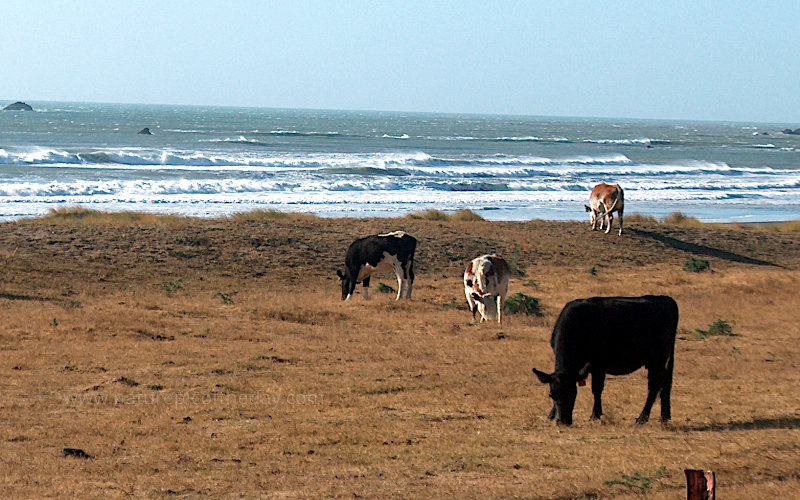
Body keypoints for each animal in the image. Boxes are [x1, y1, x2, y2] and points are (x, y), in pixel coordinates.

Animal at [536, 294, 680, 428]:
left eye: (573, 393)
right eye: (551, 395)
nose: (563, 421)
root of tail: (666, 299)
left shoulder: (598, 365)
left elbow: (596, 389)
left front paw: (595, 415)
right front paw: (551, 415)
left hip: (658, 359)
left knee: (655, 386)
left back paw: (642, 418)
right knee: (666, 383)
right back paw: (664, 417)